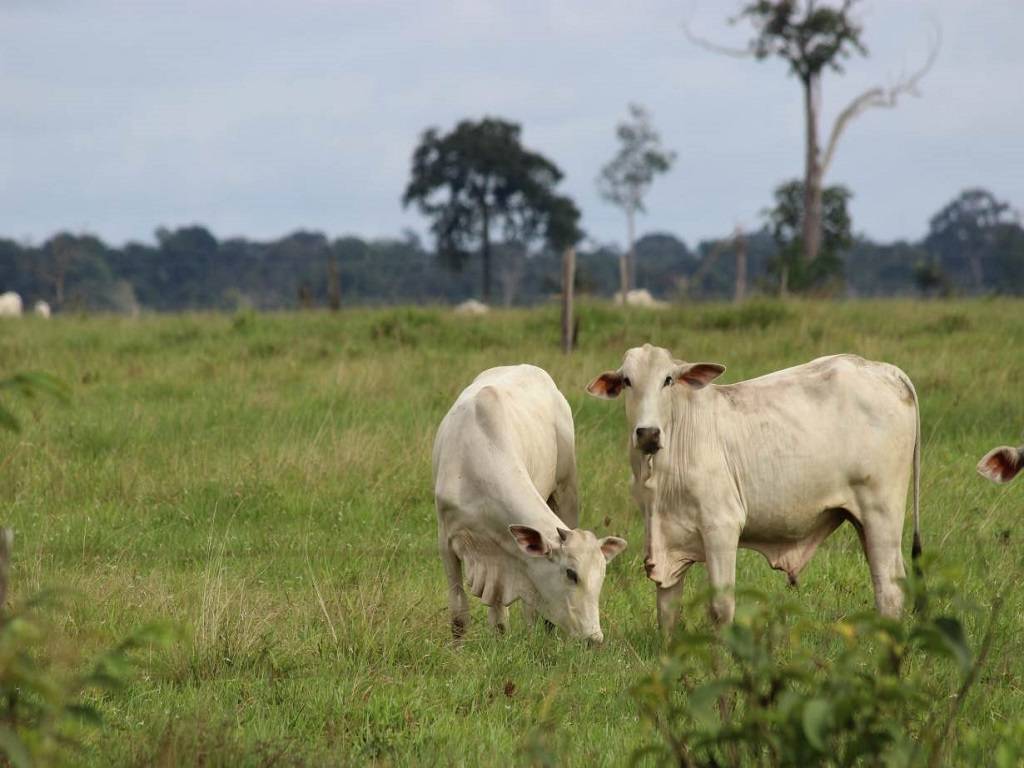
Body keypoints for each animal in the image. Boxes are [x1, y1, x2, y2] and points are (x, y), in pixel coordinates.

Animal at [430, 366, 622, 643]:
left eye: (602, 576)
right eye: (571, 573)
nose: (593, 639)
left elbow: (505, 614)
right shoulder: (447, 540)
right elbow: (460, 613)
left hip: (566, 491)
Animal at [589, 344, 925, 630]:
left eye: (668, 380)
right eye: (627, 381)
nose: (648, 433)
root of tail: (886, 370)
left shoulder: (721, 527)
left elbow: (721, 607)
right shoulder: (664, 536)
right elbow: (667, 610)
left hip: (882, 513)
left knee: (890, 590)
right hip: (864, 522)